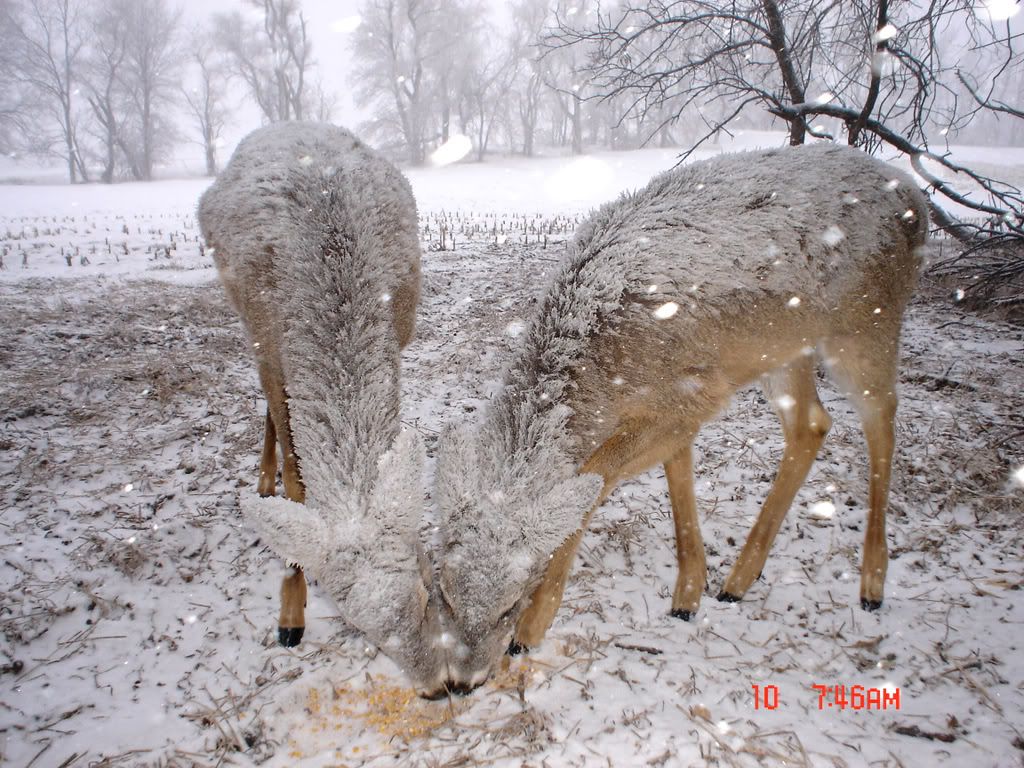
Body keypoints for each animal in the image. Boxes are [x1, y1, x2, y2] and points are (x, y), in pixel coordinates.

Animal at [195, 123, 444, 696]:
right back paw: (263, 478)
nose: (440, 686)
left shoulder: (400, 332)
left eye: (425, 591)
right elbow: (297, 479)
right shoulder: (269, 347)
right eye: (363, 630)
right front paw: (291, 612)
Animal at [428, 140, 933, 696]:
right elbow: (677, 471)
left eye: (509, 605)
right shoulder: (678, 402)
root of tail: (917, 199)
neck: (605, 375)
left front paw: (536, 625)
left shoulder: (692, 396)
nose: (461, 682)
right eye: (443, 593)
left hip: (865, 321)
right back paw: (739, 580)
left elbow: (597, 472)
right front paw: (689, 592)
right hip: (782, 347)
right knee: (813, 423)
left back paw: (872, 583)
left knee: (882, 415)